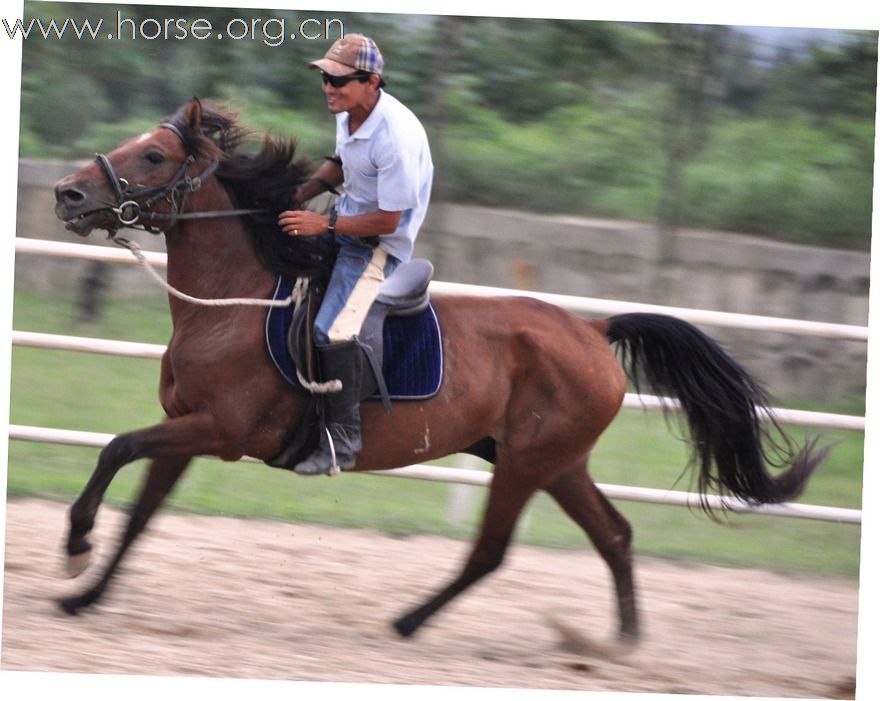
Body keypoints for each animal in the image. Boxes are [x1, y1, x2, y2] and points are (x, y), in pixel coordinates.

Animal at [53, 98, 824, 640]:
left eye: (154, 155)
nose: (66, 193)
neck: (233, 301)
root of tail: (590, 328)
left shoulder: (218, 430)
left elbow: (116, 449)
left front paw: (75, 543)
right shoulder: (185, 427)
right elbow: (141, 513)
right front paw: (85, 592)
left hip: (528, 463)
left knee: (492, 551)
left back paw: (409, 621)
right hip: (554, 461)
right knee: (614, 535)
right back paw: (622, 642)